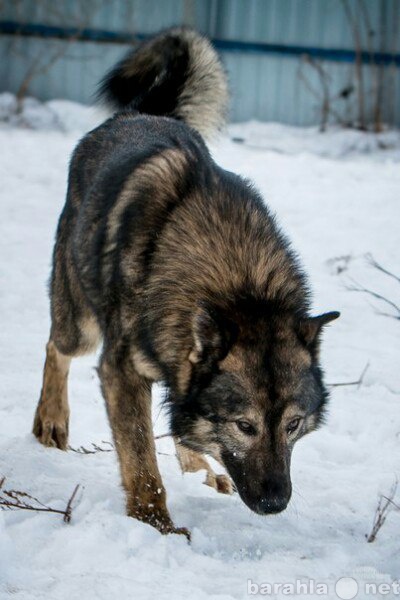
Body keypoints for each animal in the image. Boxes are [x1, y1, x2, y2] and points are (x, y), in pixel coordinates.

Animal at [32, 27, 340, 540]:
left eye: (294, 424)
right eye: (244, 426)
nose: (275, 503)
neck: (238, 285)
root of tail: (139, 114)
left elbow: (176, 422)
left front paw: (192, 473)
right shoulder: (120, 371)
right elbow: (141, 460)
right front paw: (154, 524)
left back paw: (198, 469)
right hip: (82, 323)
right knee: (56, 345)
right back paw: (51, 420)